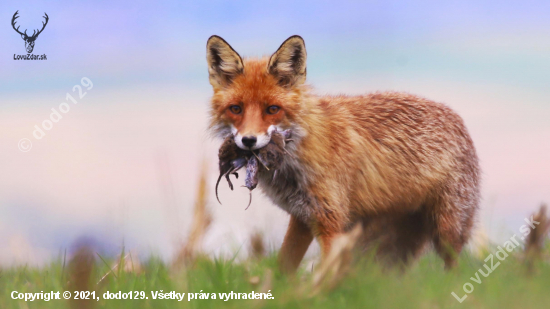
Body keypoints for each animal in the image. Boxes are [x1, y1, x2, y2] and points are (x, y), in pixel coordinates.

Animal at [205, 35, 480, 272]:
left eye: (272, 109)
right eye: (236, 109)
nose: (248, 141)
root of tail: (458, 119)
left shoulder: (330, 221)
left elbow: (326, 272)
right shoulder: (303, 217)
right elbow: (284, 268)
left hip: (446, 230)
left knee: (454, 269)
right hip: (387, 246)